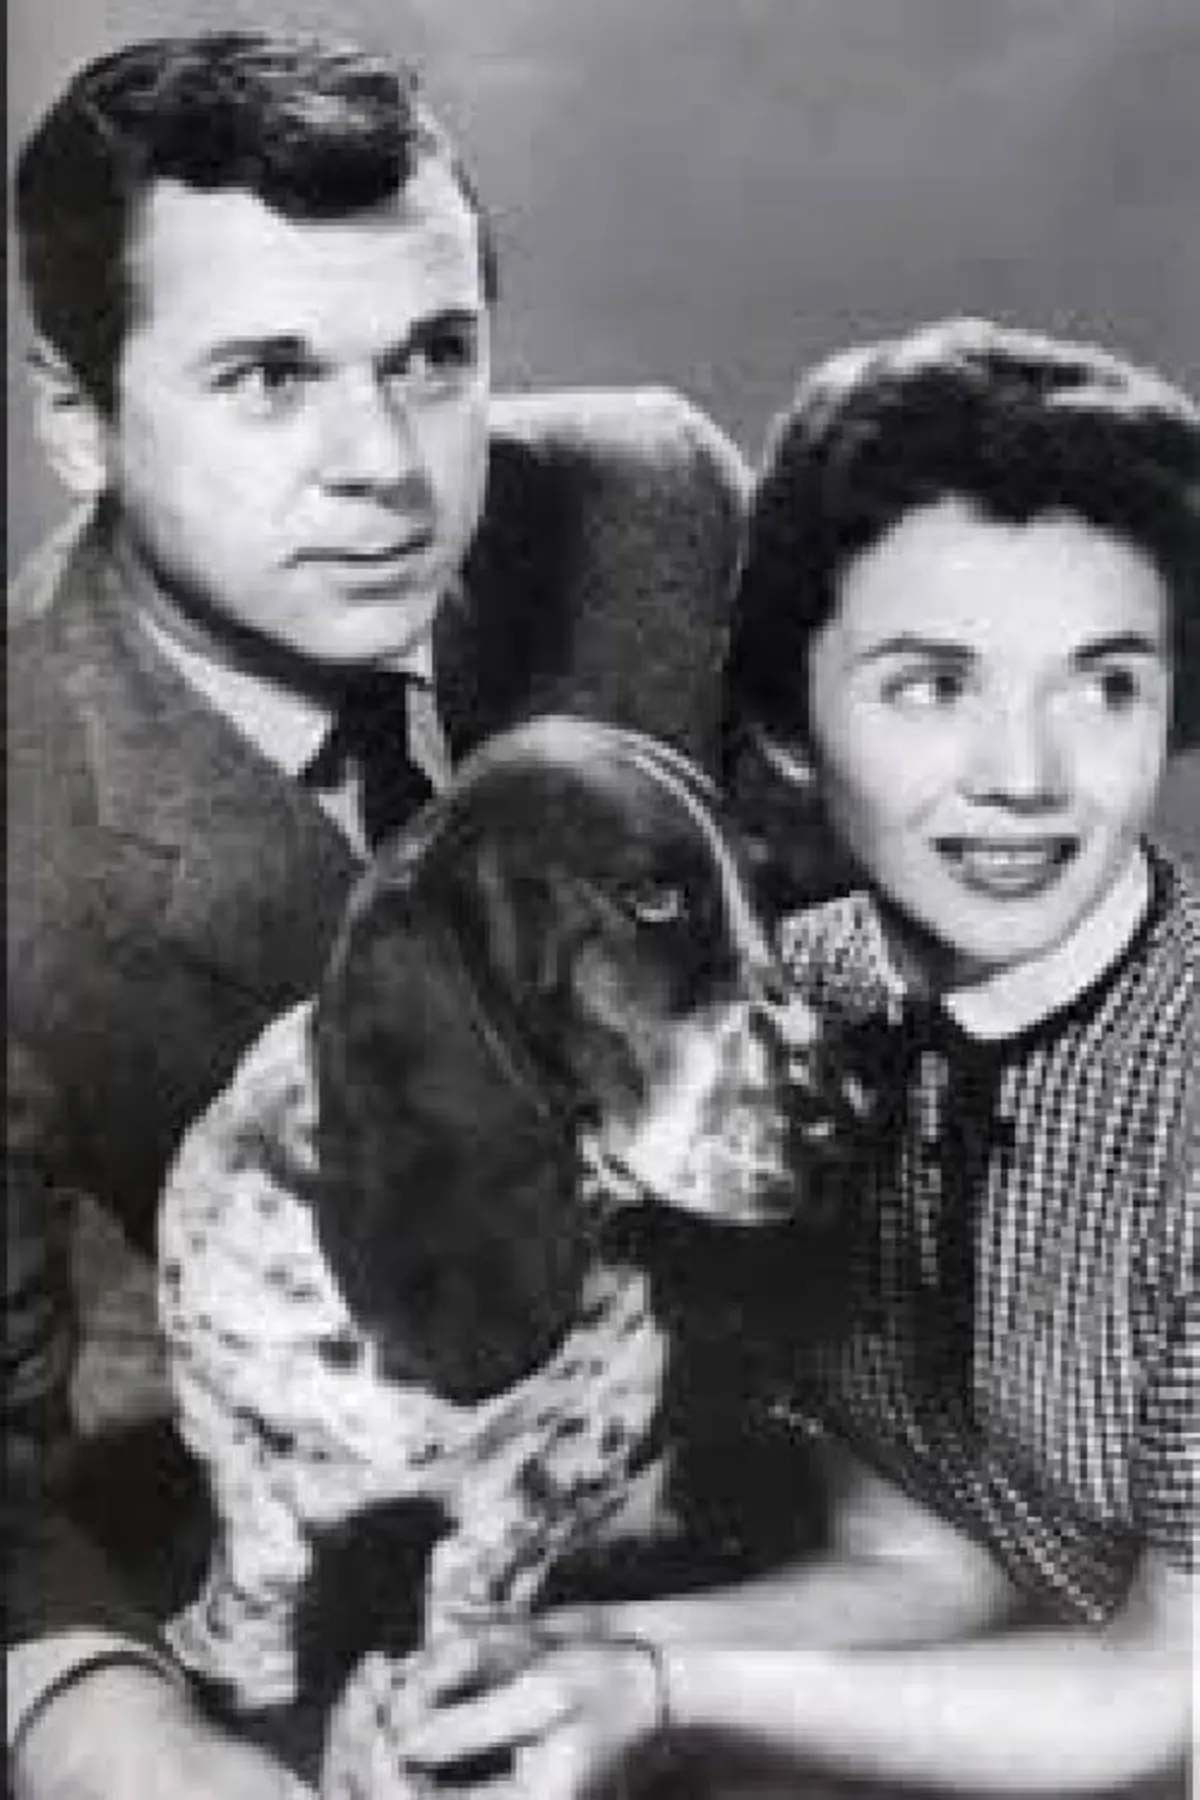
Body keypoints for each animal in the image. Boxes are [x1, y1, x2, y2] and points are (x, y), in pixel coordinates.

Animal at [158, 717, 838, 1792]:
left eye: (771, 900)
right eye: (651, 900)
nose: (848, 1124)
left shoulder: (582, 1440)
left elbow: (474, 1589)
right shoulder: (213, 1395)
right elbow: (263, 1553)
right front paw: (239, 1662)